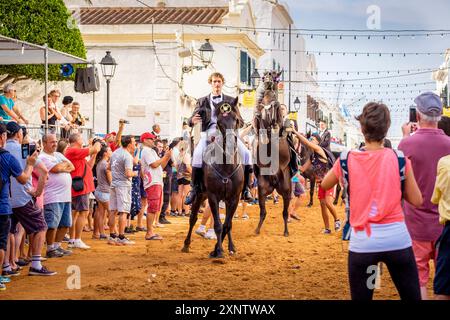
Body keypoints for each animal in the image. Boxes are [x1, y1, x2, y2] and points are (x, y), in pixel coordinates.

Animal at [181, 99, 244, 258]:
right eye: (219, 122)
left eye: (236, 120)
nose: (231, 144)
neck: (226, 165)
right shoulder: (213, 196)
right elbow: (218, 225)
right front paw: (219, 251)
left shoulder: (234, 198)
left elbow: (227, 225)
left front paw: (219, 248)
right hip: (200, 195)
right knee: (193, 218)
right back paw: (186, 244)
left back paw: (231, 247)